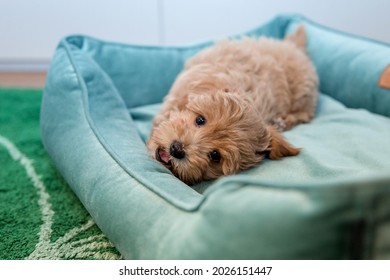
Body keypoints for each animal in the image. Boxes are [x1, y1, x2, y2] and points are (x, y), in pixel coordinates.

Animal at [146, 25, 316, 184]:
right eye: (200, 120)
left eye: (215, 156)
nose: (177, 149)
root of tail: (294, 46)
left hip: (303, 96)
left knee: (302, 114)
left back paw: (282, 121)